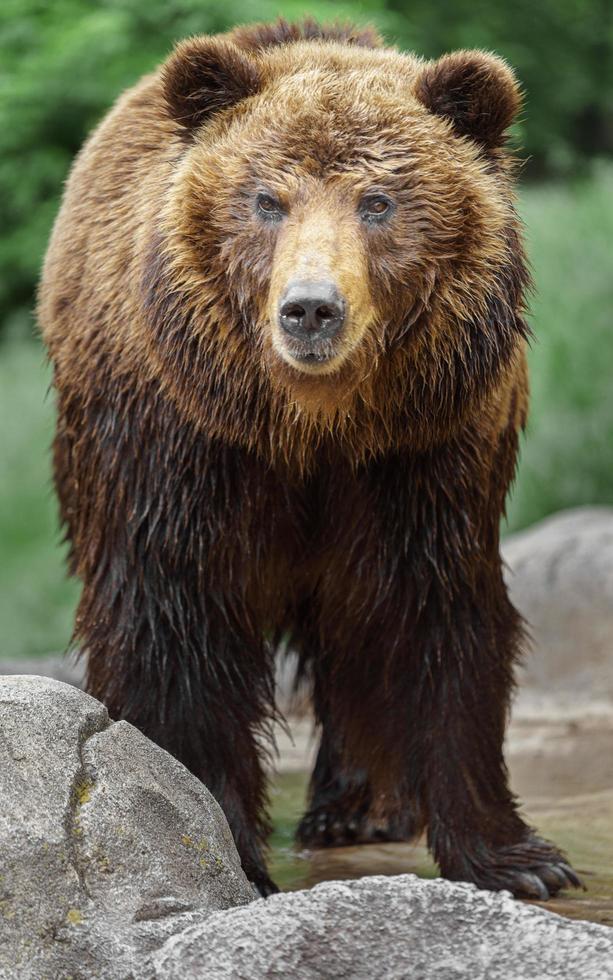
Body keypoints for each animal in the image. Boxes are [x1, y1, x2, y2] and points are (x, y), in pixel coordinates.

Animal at [38, 19, 580, 900]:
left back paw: (354, 809)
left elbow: (436, 614)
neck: (310, 426)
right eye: (266, 200)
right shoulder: (182, 447)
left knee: (354, 636)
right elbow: (176, 620)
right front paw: (221, 841)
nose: (310, 309)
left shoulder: (424, 453)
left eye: (377, 201)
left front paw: (519, 858)